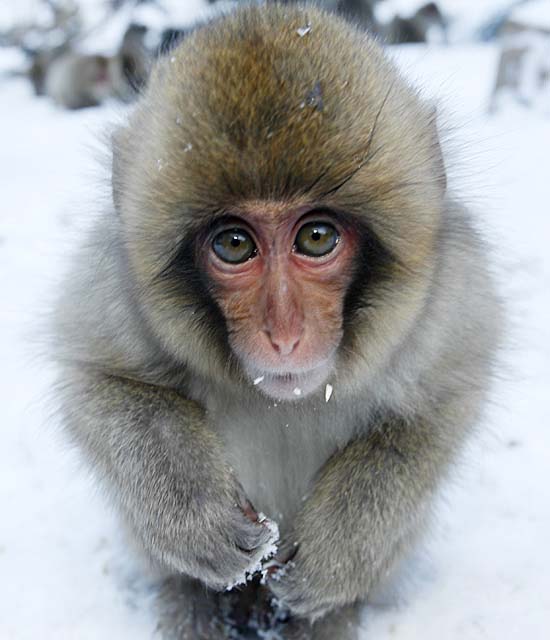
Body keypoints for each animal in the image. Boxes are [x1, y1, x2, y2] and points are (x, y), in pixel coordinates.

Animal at [54, 5, 502, 640]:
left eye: (316, 237)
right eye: (235, 244)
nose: (285, 336)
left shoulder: (450, 296)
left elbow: (444, 400)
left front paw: (336, 550)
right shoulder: (117, 290)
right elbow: (98, 381)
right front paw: (197, 515)